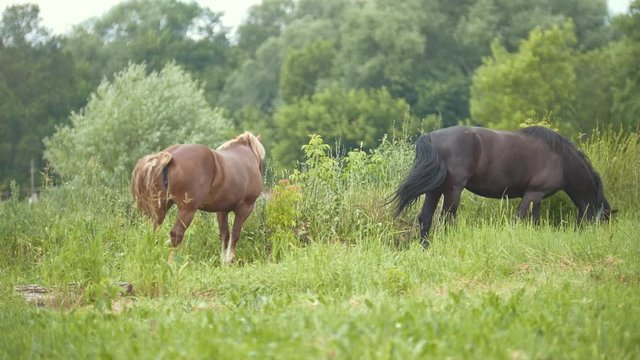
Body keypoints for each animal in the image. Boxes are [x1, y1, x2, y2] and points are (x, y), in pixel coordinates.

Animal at [132, 131, 264, 262]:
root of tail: (170, 155)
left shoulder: (222, 211)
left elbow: (224, 234)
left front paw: (223, 260)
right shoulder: (245, 208)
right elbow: (235, 234)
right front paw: (228, 260)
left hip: (160, 207)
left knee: (154, 230)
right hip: (187, 210)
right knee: (176, 234)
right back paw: (171, 262)